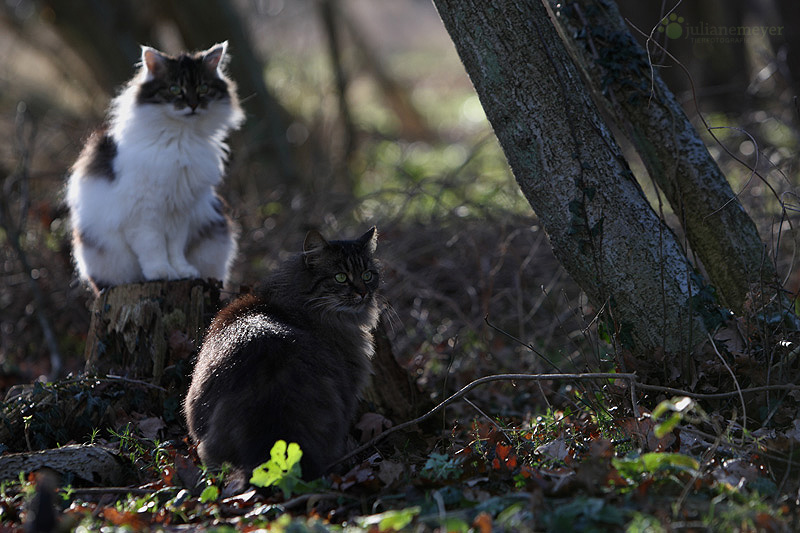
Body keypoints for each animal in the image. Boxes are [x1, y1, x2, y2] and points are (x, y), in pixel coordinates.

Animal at [66, 41, 244, 290]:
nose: (192, 105)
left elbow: (175, 248)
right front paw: (161, 272)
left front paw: (182, 271)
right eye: (174, 89)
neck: (180, 139)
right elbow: (154, 247)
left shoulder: (180, 211)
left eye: (203, 88)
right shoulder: (144, 214)